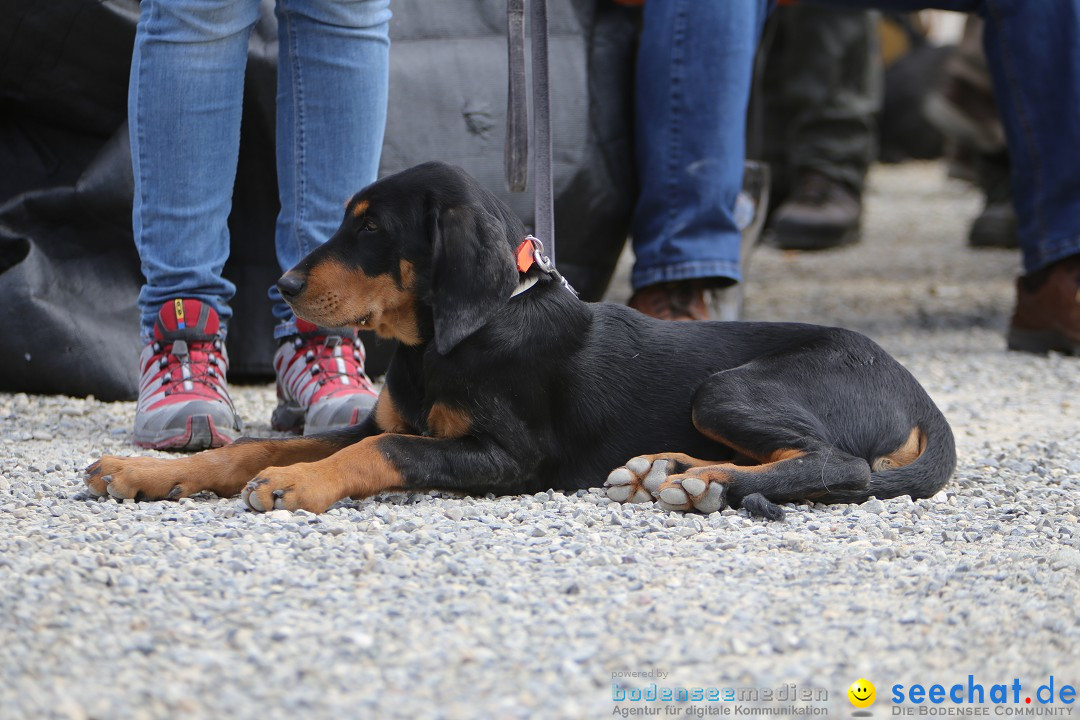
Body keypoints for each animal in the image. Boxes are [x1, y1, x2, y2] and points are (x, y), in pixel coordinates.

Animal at [84, 162, 954, 518]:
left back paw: (701, 482)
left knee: (838, 465)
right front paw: (142, 472)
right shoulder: (380, 418)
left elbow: (377, 452)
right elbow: (252, 447)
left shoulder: (509, 456)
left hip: (730, 385)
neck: (451, 339)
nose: (285, 287)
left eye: (372, 230)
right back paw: (671, 471)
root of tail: (918, 392)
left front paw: (301, 487)